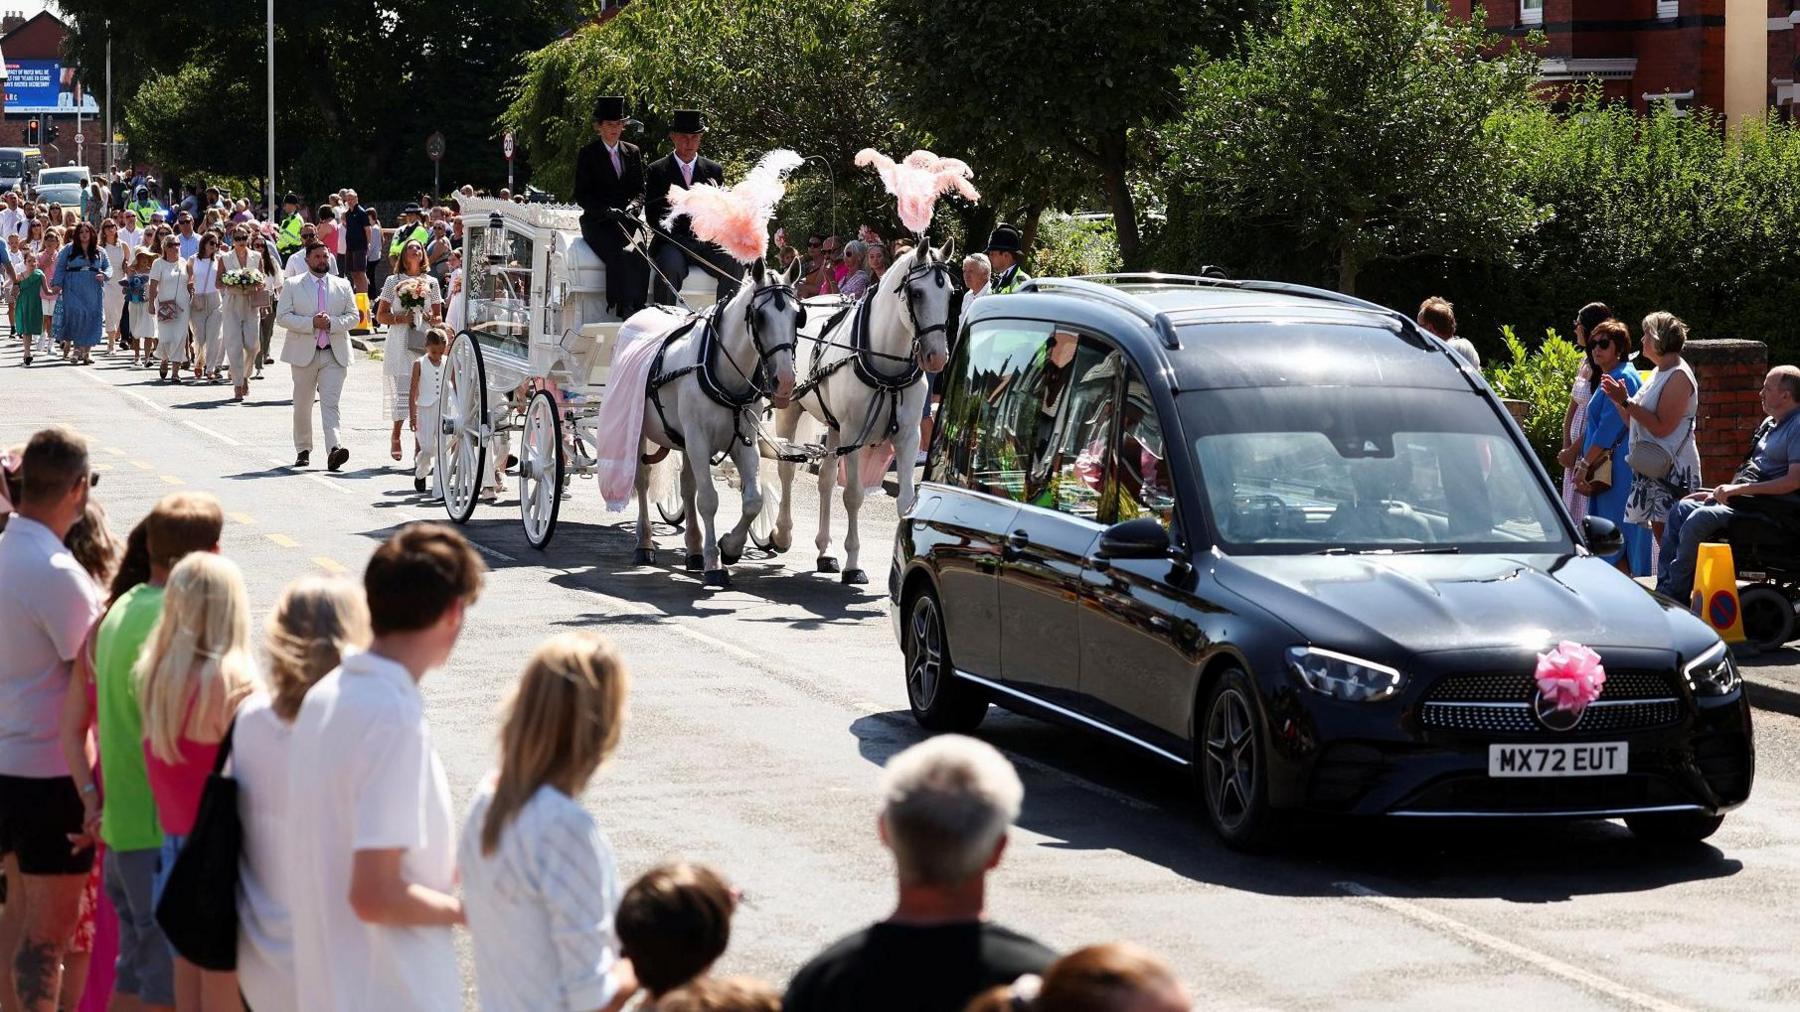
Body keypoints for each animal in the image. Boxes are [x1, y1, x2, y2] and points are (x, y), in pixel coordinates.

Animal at [633, 257, 802, 583]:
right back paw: (645, 544)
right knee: (642, 480)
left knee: (687, 486)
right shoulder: (699, 441)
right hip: (635, 431)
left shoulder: (743, 440)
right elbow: (709, 500)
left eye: (797, 316)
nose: (785, 381)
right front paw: (714, 564)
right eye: (760, 317)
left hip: (684, 441)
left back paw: (693, 550)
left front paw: (730, 548)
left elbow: (753, 500)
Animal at [770, 239, 957, 579]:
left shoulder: (907, 437)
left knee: (825, 480)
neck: (886, 364)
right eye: (917, 293)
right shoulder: (854, 434)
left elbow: (906, 501)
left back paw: (825, 551)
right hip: (791, 409)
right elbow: (854, 495)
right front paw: (853, 563)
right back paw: (783, 533)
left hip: (834, 426)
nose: (937, 357)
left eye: (950, 293)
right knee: (786, 469)